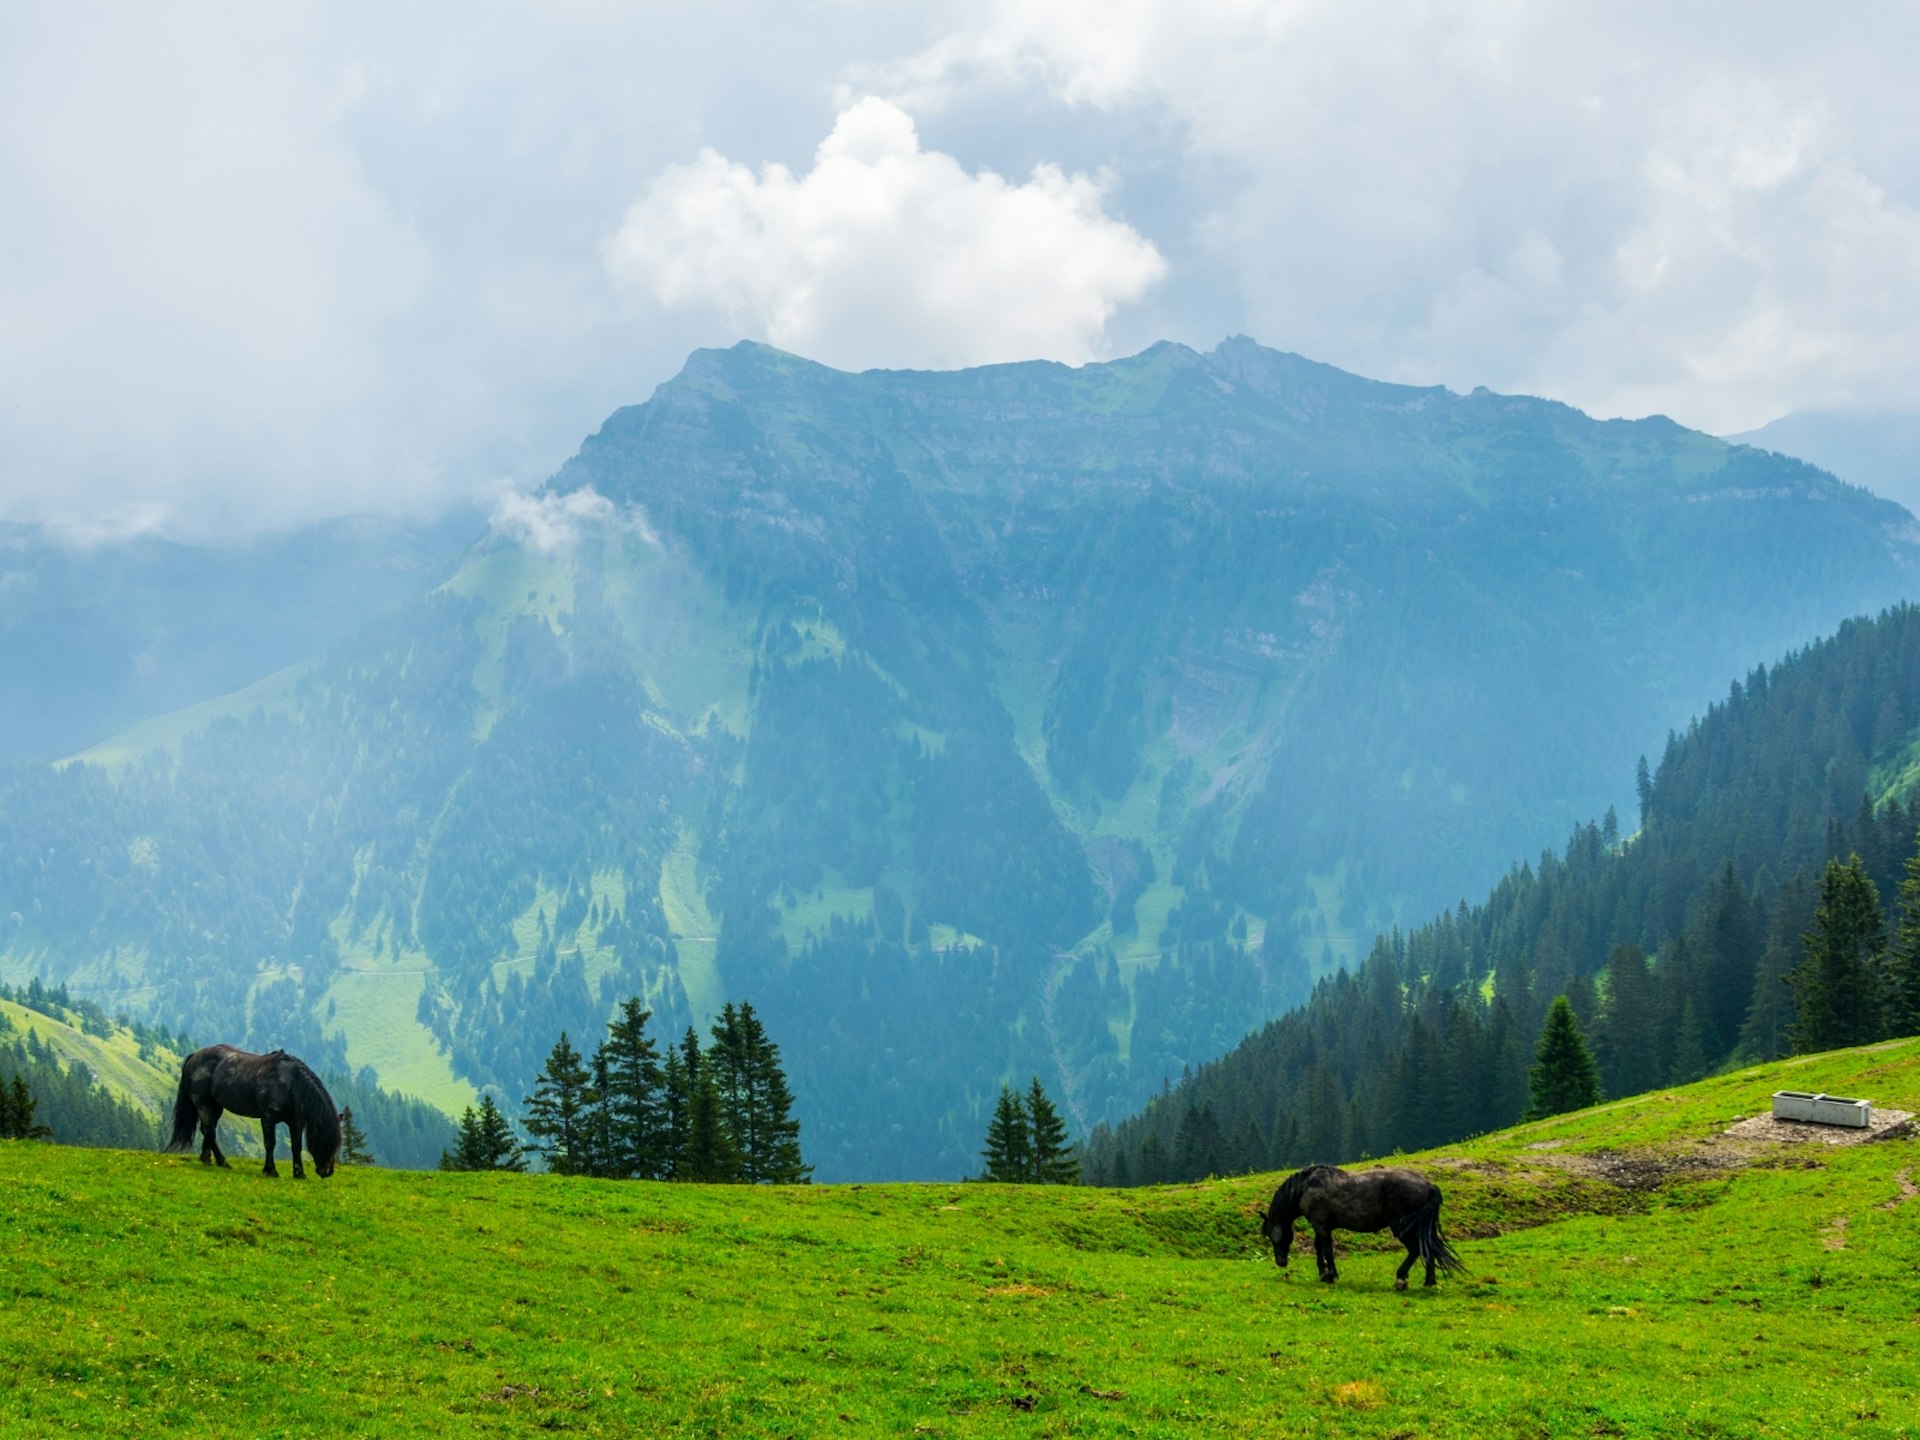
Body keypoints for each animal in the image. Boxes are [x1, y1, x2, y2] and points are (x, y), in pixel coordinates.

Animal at [165, 1052, 341, 1182]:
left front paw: (299, 1174)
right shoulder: (268, 1117)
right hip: (202, 1103)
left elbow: (296, 1147)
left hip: (216, 1107)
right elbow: (270, 1143)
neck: (290, 1084)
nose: (328, 1172)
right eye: (326, 1141)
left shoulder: (296, 1122)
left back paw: (206, 1159)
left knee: (207, 1129)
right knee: (210, 1131)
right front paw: (270, 1171)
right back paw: (222, 1162)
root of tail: (194, 1056)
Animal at [1267, 1167, 1459, 1290]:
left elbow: (1327, 1249)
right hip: (1423, 1229)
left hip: (1402, 1228)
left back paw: (1401, 1278)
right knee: (1428, 1249)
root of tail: (1428, 1185)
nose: (1281, 1262)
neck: (1306, 1187)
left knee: (1415, 1250)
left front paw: (1331, 1275)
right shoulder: (1321, 1226)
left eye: (1272, 1237)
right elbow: (1319, 1247)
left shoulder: (1320, 1225)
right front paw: (1323, 1274)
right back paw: (1429, 1281)